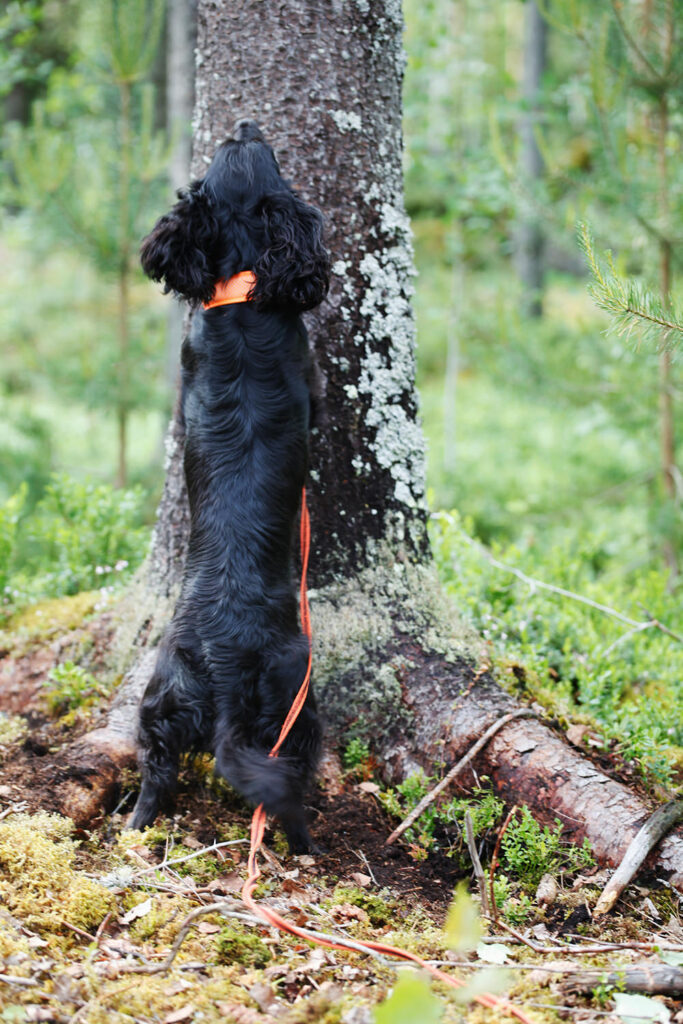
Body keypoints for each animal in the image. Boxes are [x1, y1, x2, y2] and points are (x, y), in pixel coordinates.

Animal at [130, 119, 331, 856]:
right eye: (254, 151)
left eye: (234, 152)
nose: (246, 124)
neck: (243, 299)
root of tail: (222, 670)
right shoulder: (311, 386)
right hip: (295, 706)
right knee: (287, 786)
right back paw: (305, 844)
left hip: (161, 701)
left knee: (155, 778)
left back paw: (132, 830)